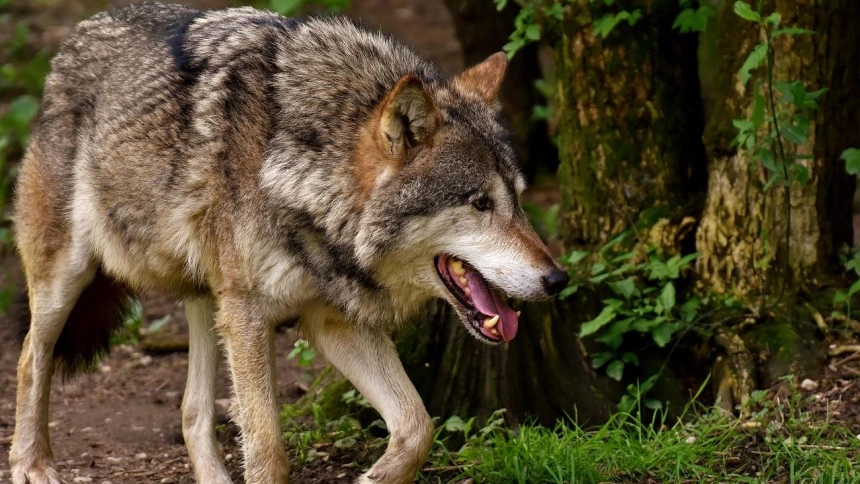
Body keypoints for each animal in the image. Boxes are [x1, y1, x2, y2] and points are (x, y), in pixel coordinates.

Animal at [9, 3, 569, 483]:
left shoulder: (331, 320)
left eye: (519, 200)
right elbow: (267, 449)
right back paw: (31, 463)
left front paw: (374, 476)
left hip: (208, 300)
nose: (557, 279)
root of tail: (77, 35)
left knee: (192, 412)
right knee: (30, 358)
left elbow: (417, 426)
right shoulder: (251, 315)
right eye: (480, 203)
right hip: (69, 279)